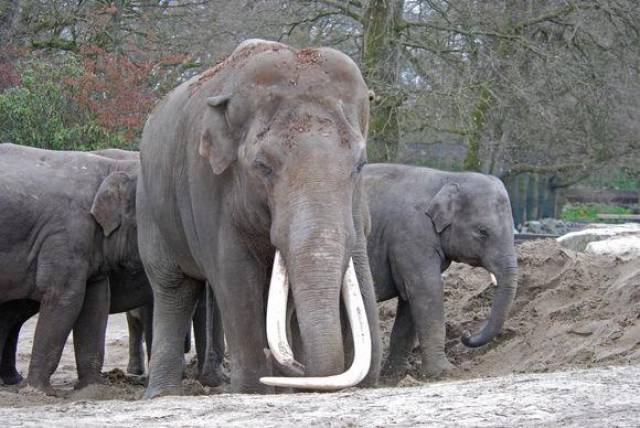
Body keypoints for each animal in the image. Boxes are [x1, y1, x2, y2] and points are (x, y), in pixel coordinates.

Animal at [0, 143, 140, 394]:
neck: (112, 168)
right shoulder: (65, 234)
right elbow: (66, 298)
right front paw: (38, 392)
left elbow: (96, 303)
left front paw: (93, 390)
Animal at [137, 39, 382, 397]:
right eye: (262, 166)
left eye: (360, 165)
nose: (301, 368)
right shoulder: (208, 185)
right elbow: (235, 277)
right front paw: (252, 388)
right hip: (150, 209)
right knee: (173, 288)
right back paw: (163, 395)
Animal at [362, 163, 518, 378]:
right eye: (483, 232)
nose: (466, 334)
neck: (449, 178)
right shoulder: (412, 235)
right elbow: (427, 289)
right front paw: (444, 372)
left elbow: (409, 300)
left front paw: (395, 376)